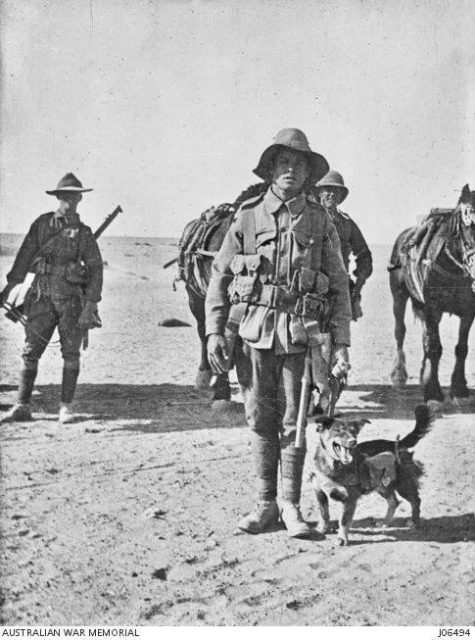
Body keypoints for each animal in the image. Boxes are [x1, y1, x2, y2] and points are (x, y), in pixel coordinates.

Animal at [308, 404, 436, 544]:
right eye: (338, 430)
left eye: (354, 432)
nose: (353, 441)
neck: (333, 465)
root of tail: (396, 443)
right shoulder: (319, 492)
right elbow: (324, 514)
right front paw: (322, 529)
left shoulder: (350, 498)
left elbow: (344, 521)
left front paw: (342, 538)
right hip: (381, 484)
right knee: (394, 502)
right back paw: (385, 522)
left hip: (402, 484)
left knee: (415, 500)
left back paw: (414, 522)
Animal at [390, 184, 475, 404]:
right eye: (468, 223)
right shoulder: (432, 308)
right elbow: (434, 347)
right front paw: (433, 392)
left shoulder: (468, 311)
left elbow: (461, 348)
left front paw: (459, 388)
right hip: (399, 296)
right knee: (400, 331)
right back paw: (399, 374)